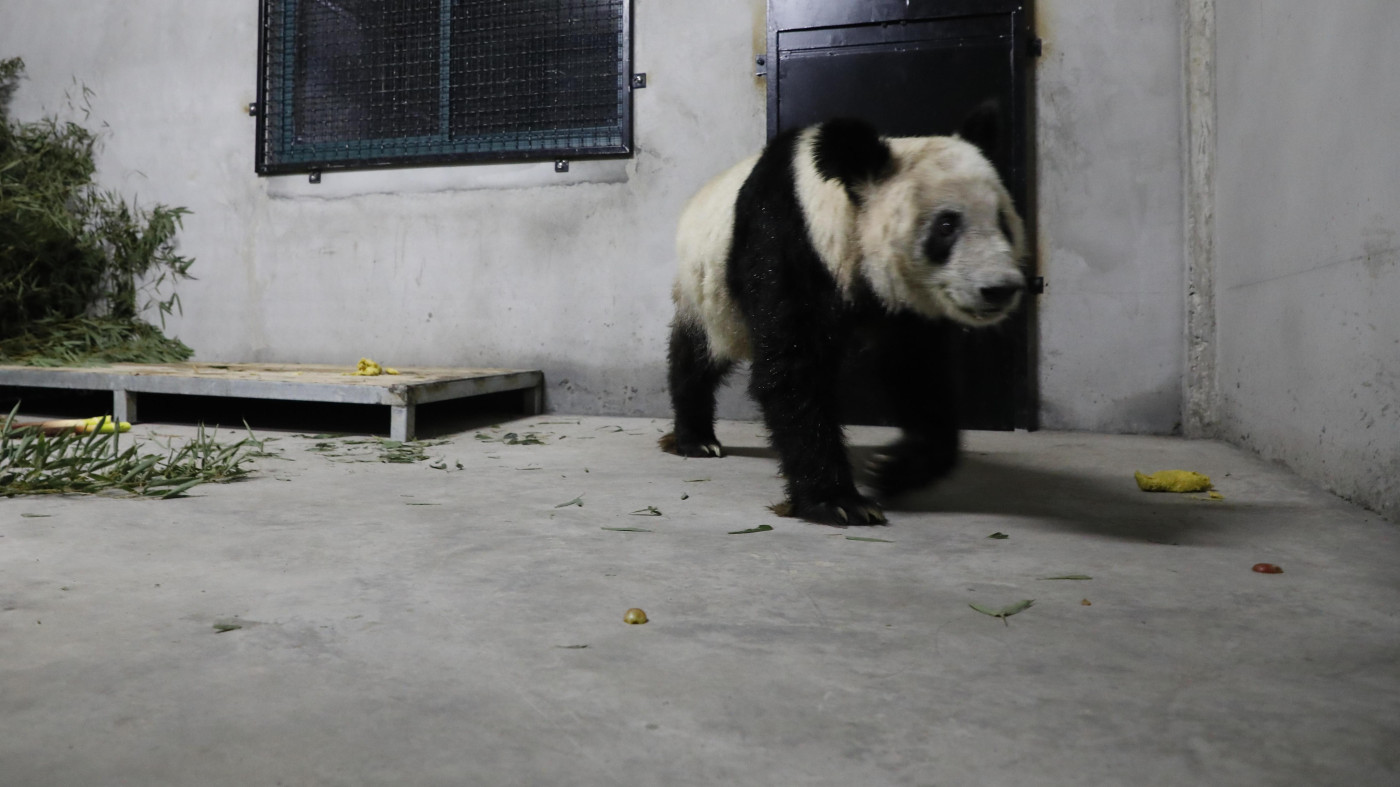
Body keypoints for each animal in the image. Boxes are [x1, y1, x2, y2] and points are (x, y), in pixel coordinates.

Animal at [655, 104, 1030, 520]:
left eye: (1003, 221)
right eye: (947, 225)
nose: (1000, 289)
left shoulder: (905, 305)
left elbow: (918, 370)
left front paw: (891, 470)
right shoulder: (787, 242)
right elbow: (793, 368)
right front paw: (838, 501)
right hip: (709, 293)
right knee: (697, 354)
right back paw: (696, 439)